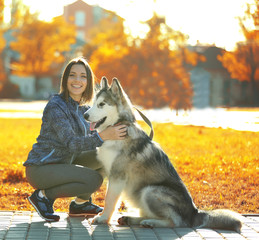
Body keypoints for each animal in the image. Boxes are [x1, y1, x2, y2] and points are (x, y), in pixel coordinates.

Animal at [84, 77, 243, 232]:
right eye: (93, 104)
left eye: (101, 104)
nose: (85, 115)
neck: (119, 128)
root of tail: (194, 213)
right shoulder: (109, 171)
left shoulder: (118, 175)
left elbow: (109, 200)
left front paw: (103, 218)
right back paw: (131, 219)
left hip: (150, 191)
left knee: (175, 222)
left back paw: (150, 223)